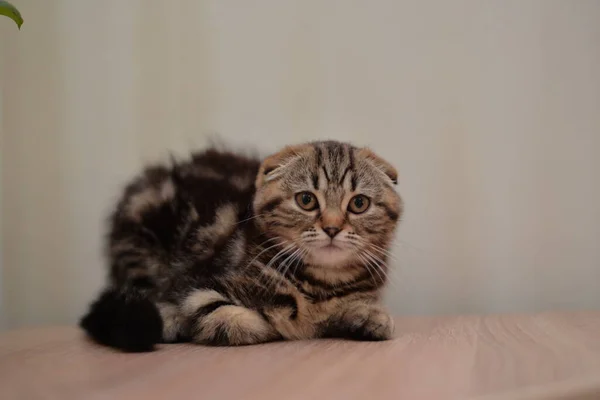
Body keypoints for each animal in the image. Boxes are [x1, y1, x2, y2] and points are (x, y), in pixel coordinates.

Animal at [79, 140, 404, 350]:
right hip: (141, 239)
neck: (322, 284)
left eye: (359, 204)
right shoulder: (197, 286)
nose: (333, 228)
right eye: (306, 200)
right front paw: (280, 323)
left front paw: (367, 316)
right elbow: (234, 319)